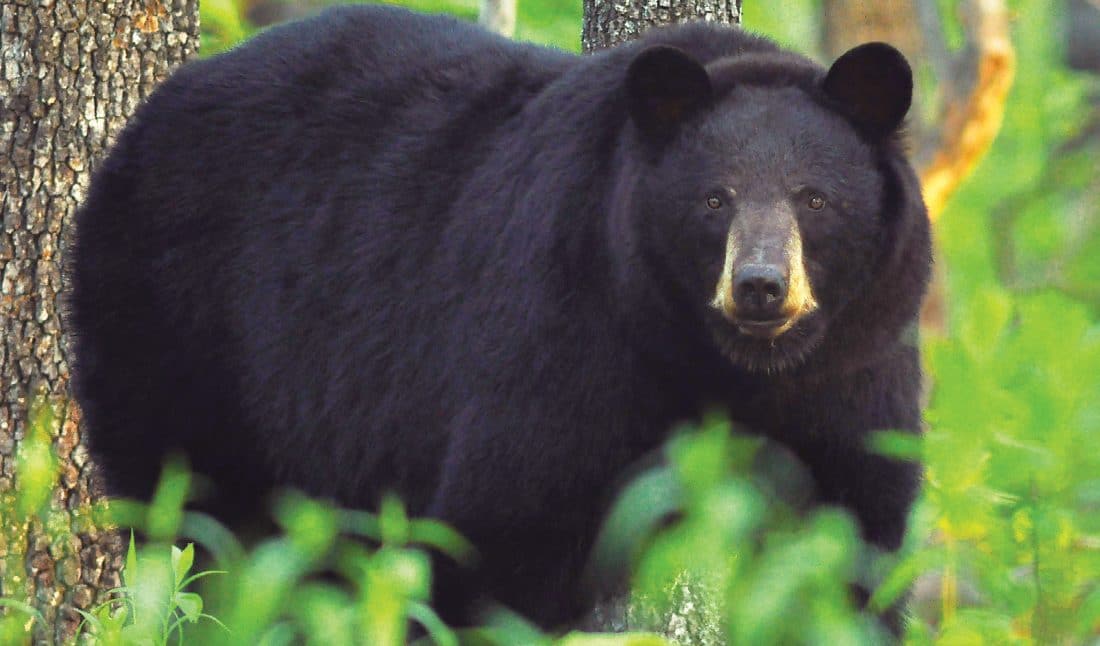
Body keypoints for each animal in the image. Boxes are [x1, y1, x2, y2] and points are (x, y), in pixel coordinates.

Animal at [66, 3, 928, 633]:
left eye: (814, 199)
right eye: (714, 199)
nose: (759, 287)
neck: (722, 364)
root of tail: (144, 124)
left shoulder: (855, 369)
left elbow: (859, 543)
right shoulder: (568, 322)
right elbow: (508, 521)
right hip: (176, 323)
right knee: (193, 512)